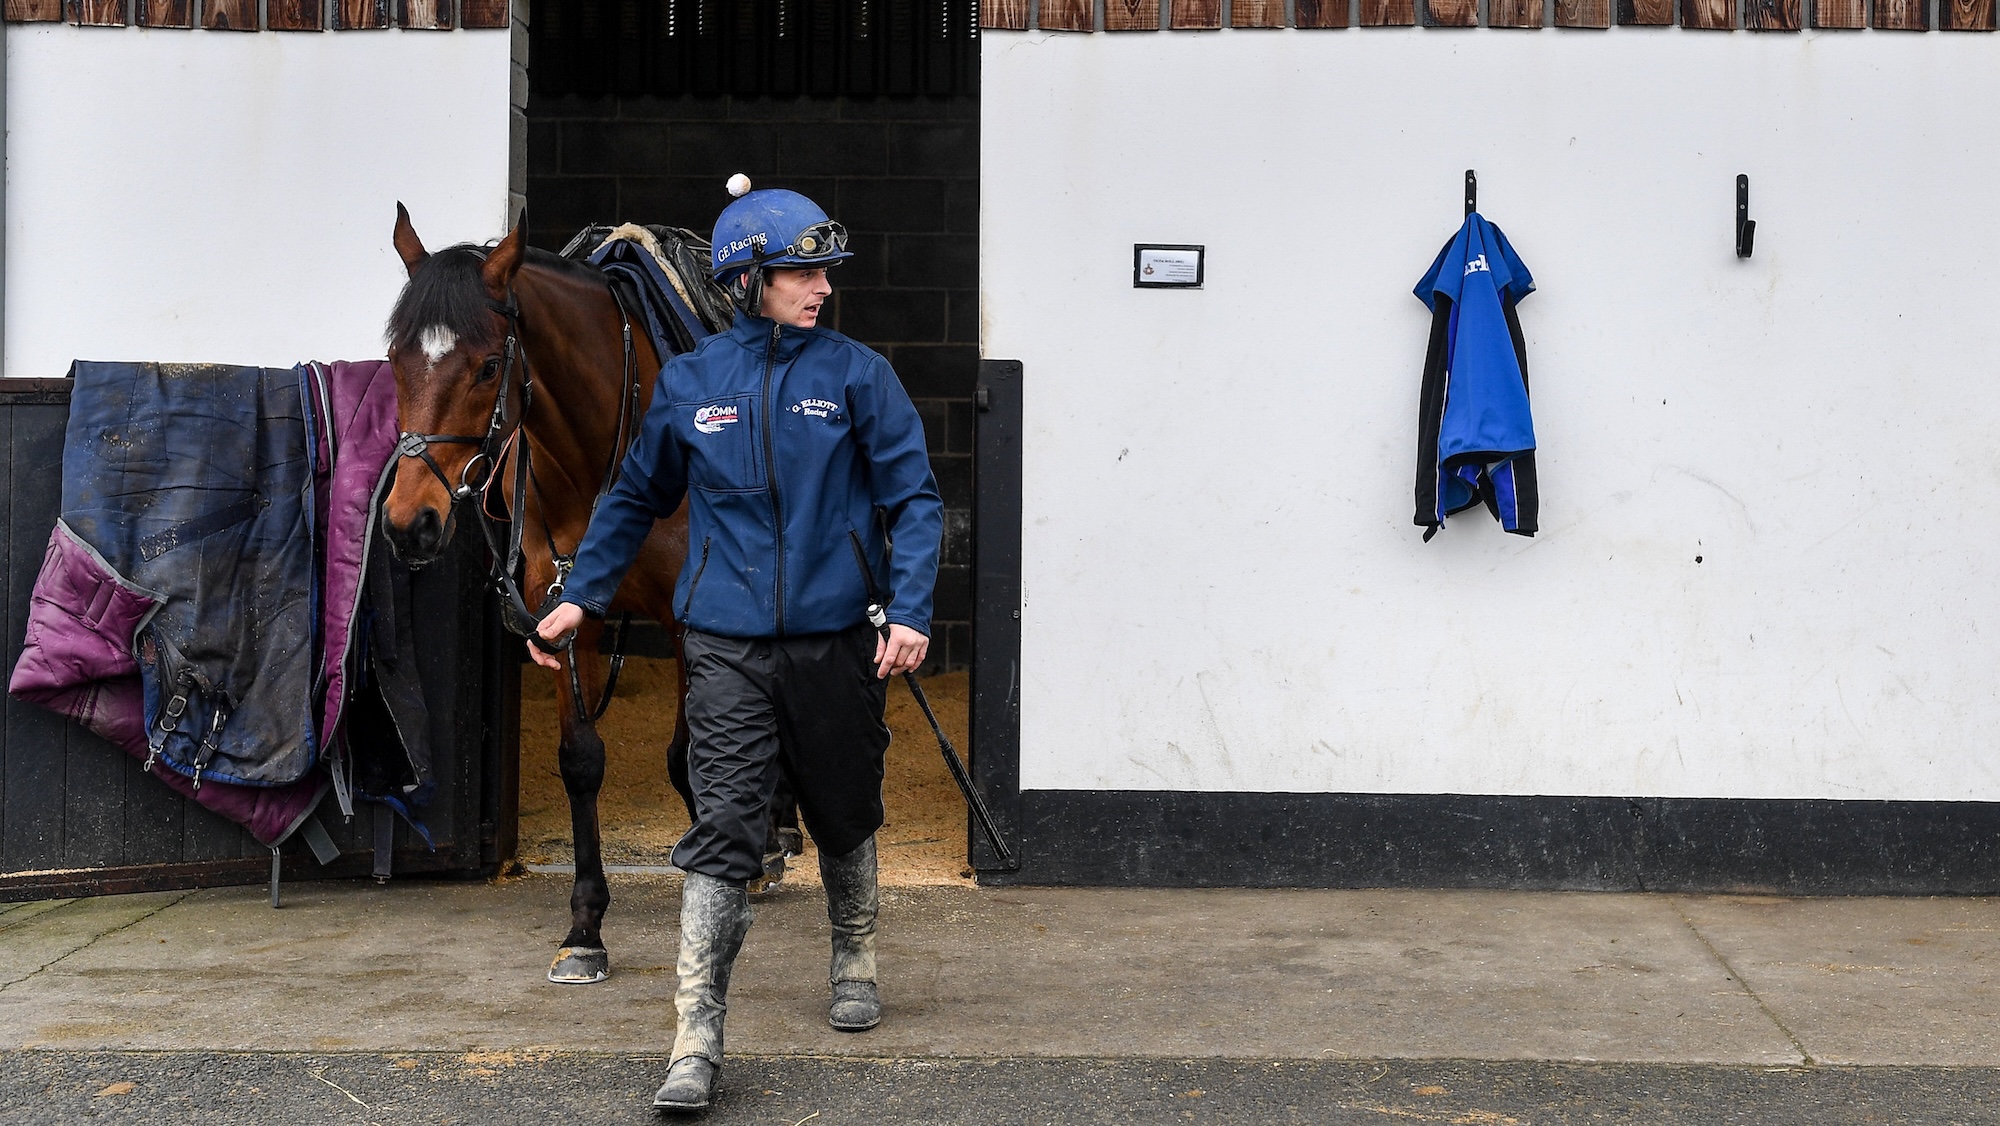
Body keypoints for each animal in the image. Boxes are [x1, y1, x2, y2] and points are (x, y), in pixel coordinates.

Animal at [379, 206, 744, 986]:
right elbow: (582, 760)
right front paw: (585, 927)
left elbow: (691, 750)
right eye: (395, 358)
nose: (409, 522)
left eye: (489, 366)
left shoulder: (686, 618)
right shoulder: (560, 611)